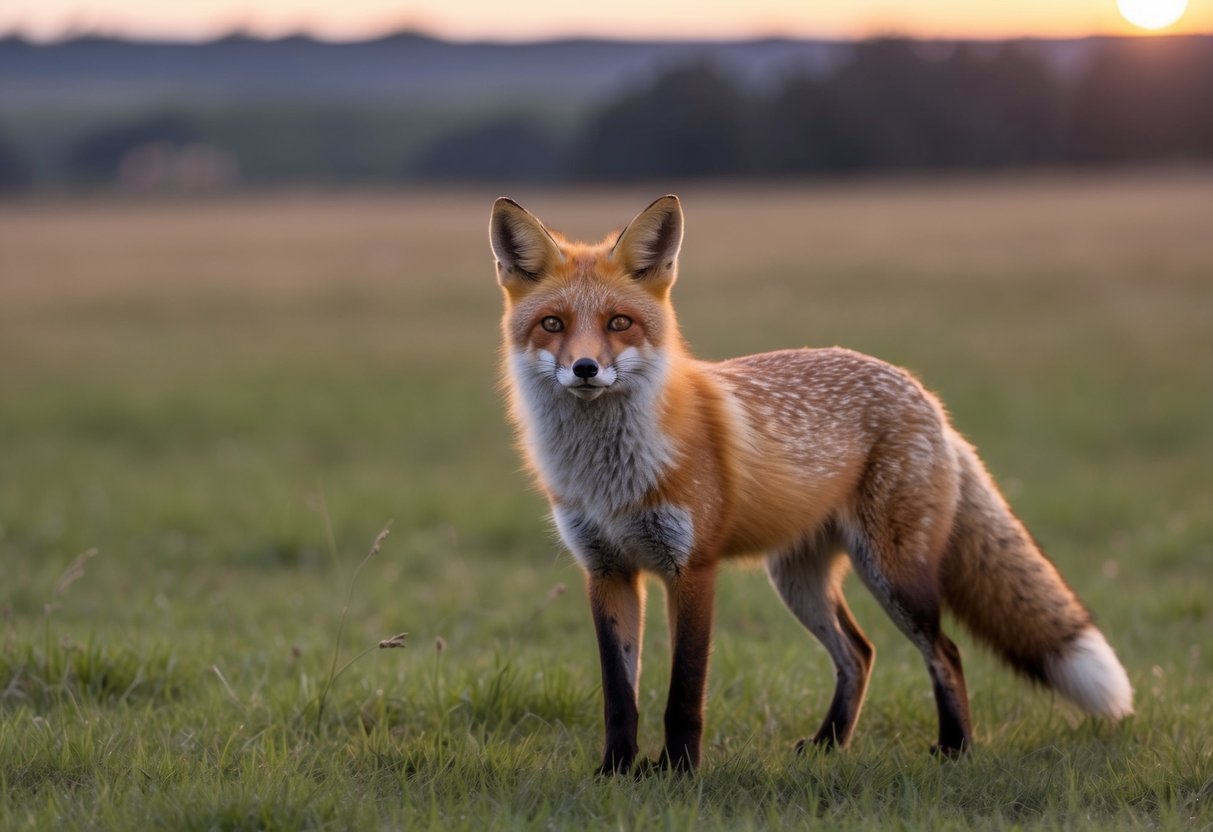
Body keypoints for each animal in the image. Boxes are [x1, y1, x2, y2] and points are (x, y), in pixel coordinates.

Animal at [489, 194, 1133, 774]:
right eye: (553, 325)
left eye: (619, 323)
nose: (586, 369)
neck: (609, 477)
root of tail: (924, 394)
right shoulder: (607, 571)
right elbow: (619, 695)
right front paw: (615, 772)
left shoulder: (691, 568)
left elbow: (684, 693)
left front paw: (678, 771)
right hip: (799, 580)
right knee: (859, 653)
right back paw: (829, 744)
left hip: (895, 574)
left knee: (945, 653)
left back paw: (954, 748)